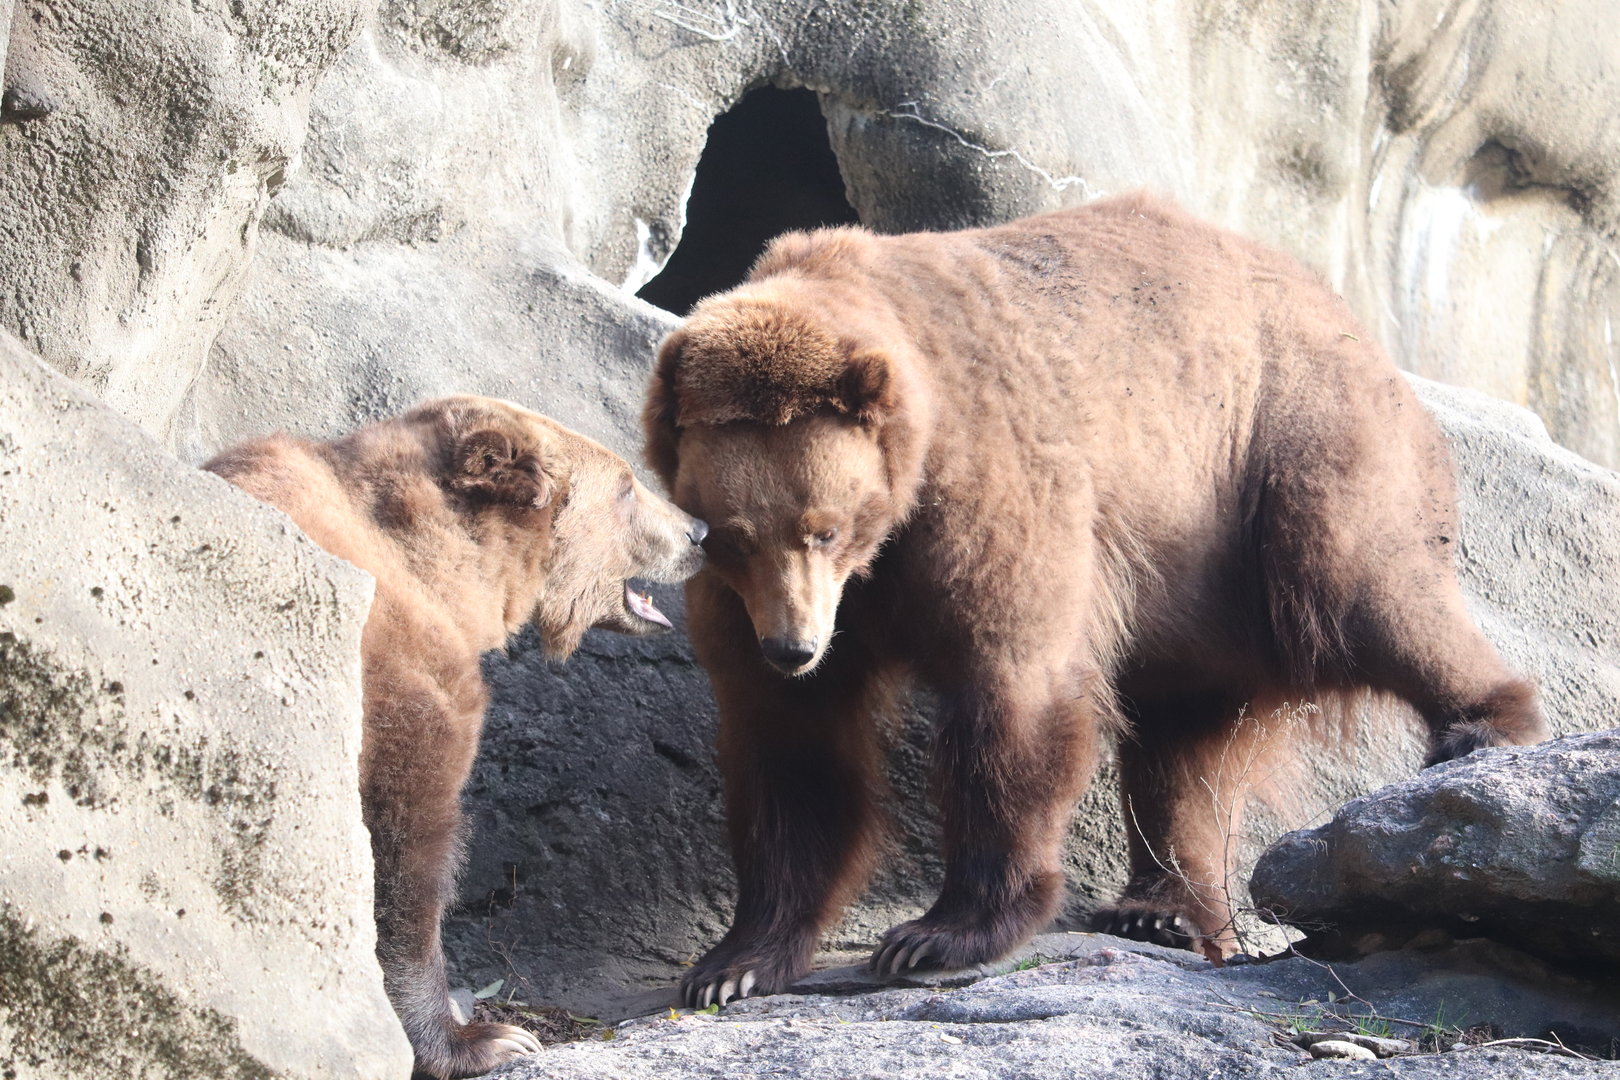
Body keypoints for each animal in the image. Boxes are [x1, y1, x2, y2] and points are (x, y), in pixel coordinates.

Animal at [206, 396, 707, 1078]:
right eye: (627, 485)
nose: (698, 532)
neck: (444, 574)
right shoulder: (397, 686)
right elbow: (403, 858)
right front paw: (480, 1039)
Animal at [643, 193, 1547, 1008]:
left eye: (823, 528)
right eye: (733, 535)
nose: (792, 646)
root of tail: (1346, 314)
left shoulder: (987, 489)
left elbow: (1012, 691)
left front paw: (937, 933)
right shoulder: (761, 603)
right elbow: (792, 750)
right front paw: (733, 963)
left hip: (1282, 455)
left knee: (1366, 586)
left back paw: (1483, 725)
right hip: (1193, 583)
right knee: (1184, 745)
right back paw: (1160, 906)